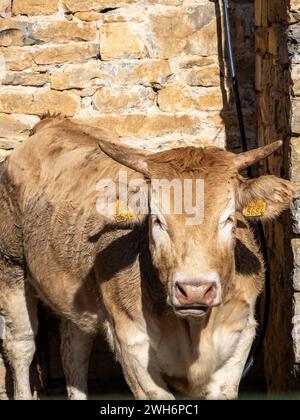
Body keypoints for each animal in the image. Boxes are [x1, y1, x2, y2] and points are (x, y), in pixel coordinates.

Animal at [0, 116, 294, 398]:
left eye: (229, 219)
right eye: (157, 220)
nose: (195, 290)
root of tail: (51, 123)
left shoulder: (240, 340)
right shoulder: (132, 347)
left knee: (74, 351)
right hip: (11, 266)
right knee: (22, 345)